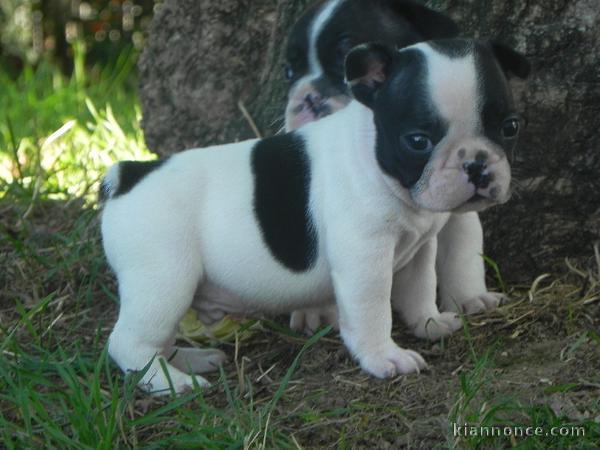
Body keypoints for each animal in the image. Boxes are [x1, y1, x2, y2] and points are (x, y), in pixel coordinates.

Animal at [99, 37, 528, 394]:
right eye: (418, 141)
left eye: (510, 127)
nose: (476, 164)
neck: (375, 161)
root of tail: (129, 175)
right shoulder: (365, 258)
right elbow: (373, 310)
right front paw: (384, 357)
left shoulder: (419, 247)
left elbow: (420, 288)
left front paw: (430, 323)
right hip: (165, 279)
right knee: (129, 342)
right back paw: (172, 383)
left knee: (159, 339)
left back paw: (190, 361)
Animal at [284, 0, 524, 332]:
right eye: (289, 72)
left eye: (346, 63)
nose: (308, 97)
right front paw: (314, 310)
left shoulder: (456, 211)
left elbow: (462, 245)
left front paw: (469, 297)